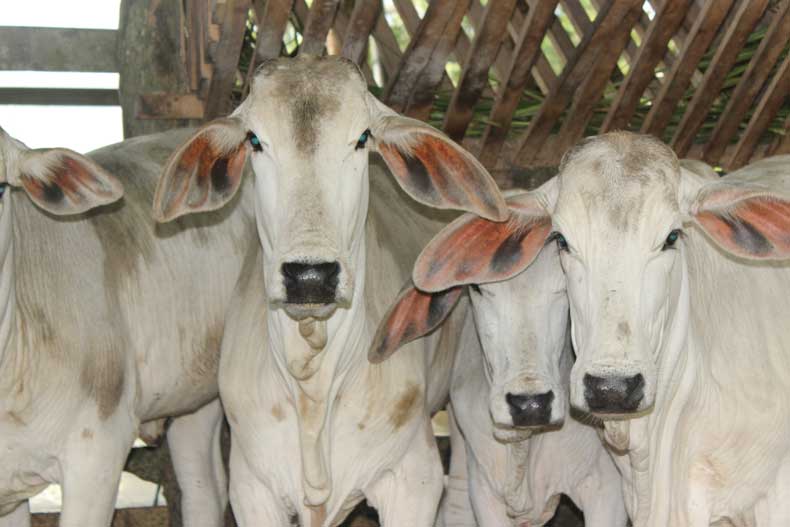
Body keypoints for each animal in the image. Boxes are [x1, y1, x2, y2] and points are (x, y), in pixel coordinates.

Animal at [148, 54, 508, 527]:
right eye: (254, 140)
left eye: (362, 138)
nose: (310, 277)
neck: (313, 389)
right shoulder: (252, 489)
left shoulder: (414, 482)